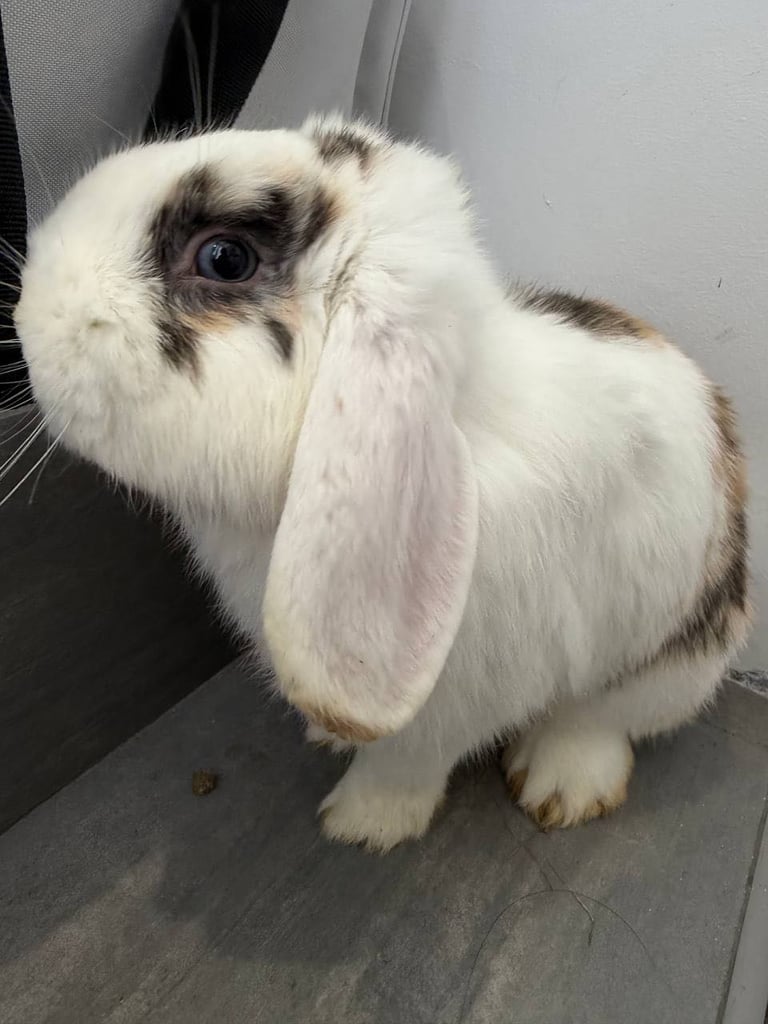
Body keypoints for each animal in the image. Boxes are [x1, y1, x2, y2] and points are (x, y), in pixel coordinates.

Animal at [15, 115, 750, 852]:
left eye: (224, 258)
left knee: (603, 720)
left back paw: (562, 788)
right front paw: (332, 737)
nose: (26, 307)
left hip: (669, 665)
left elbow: (408, 761)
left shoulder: (461, 698)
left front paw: (361, 825)